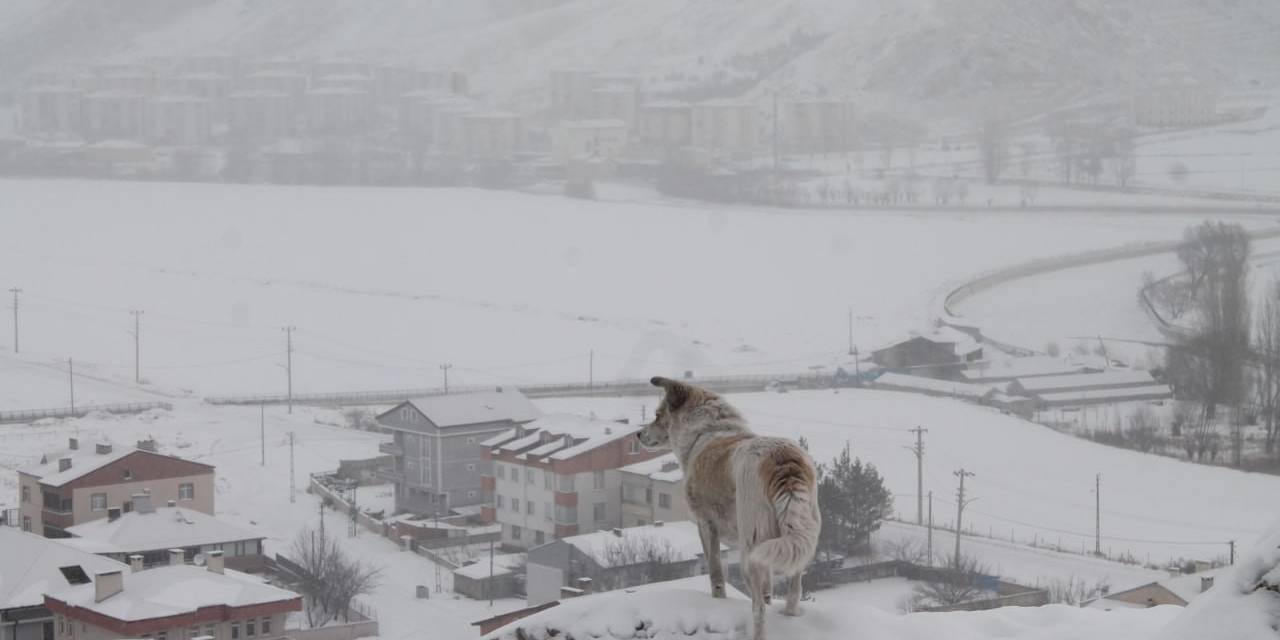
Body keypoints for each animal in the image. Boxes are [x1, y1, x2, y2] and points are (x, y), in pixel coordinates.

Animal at [637, 376, 819, 637]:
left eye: (657, 415)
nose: (638, 434)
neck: (706, 432)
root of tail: (782, 460)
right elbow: (768, 592)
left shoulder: (705, 526)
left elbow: (716, 574)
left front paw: (718, 601)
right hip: (798, 542)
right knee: (793, 595)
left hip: (750, 551)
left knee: (758, 610)